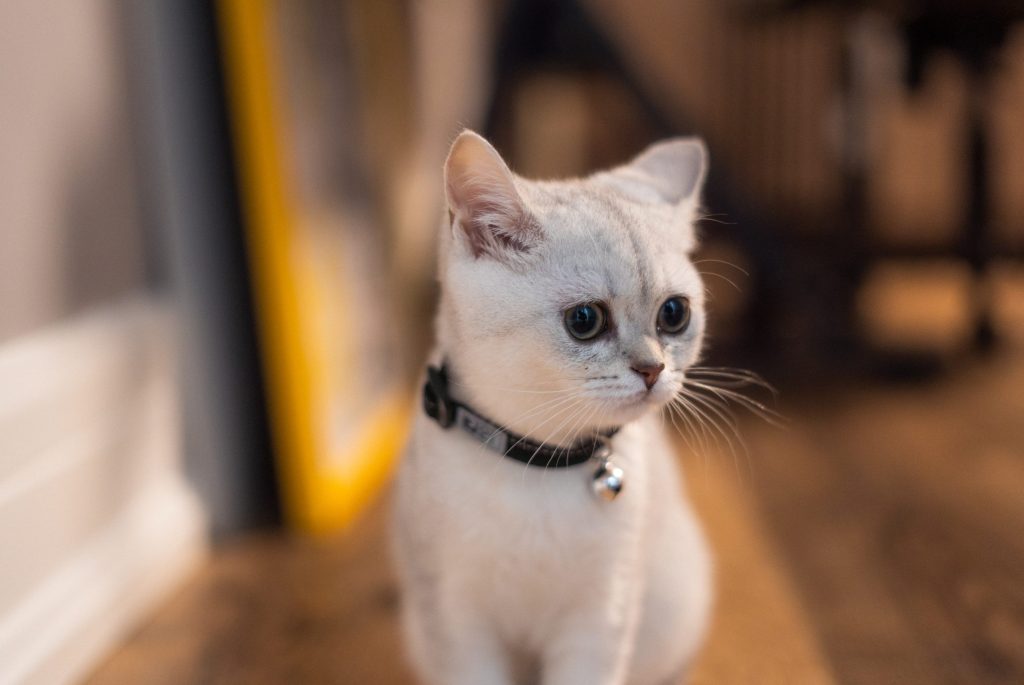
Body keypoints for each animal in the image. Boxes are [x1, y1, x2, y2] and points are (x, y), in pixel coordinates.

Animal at [391, 129, 712, 683]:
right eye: (585, 320)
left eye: (674, 313)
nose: (653, 370)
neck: (539, 465)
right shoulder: (454, 620)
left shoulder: (601, 619)